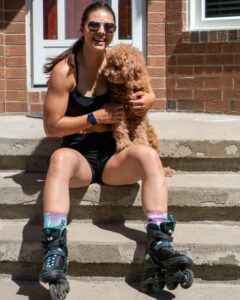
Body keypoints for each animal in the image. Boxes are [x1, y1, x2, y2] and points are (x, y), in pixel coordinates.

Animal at [103, 43, 174, 177]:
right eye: (108, 63)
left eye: (116, 66)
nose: (105, 74)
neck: (128, 86)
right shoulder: (118, 110)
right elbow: (120, 129)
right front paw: (124, 144)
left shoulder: (140, 112)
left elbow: (139, 129)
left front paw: (140, 142)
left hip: (153, 138)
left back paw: (165, 170)